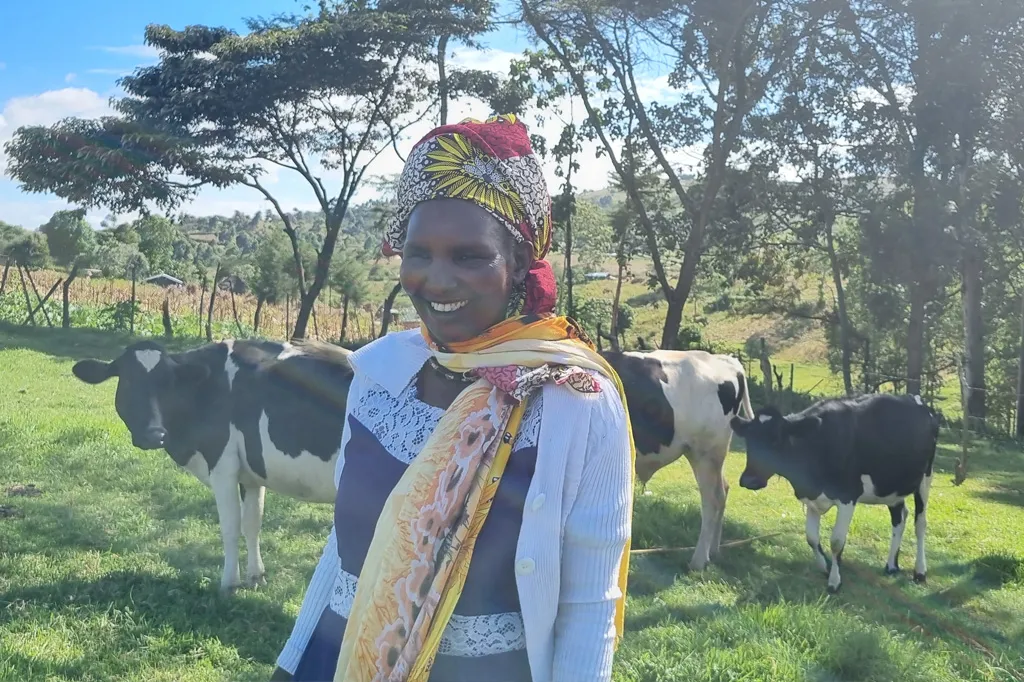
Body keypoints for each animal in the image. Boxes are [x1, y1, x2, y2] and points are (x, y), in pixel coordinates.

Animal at [70, 337, 354, 593]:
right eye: (128, 380)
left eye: (167, 382)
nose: (154, 435)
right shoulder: (251, 475)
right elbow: (252, 524)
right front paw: (256, 577)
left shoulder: (222, 464)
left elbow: (230, 526)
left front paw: (229, 584)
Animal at [598, 348, 753, 569]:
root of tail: (723, 360)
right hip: (713, 456)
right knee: (722, 491)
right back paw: (713, 550)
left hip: (704, 453)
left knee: (712, 500)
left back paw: (698, 560)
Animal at [729, 391, 937, 593]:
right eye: (748, 440)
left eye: (775, 439)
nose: (749, 480)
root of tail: (916, 400)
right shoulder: (811, 498)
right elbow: (812, 538)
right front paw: (825, 567)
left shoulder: (848, 496)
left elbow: (836, 542)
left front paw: (834, 581)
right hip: (892, 486)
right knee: (899, 518)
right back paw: (892, 565)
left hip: (925, 478)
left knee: (920, 523)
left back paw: (920, 571)